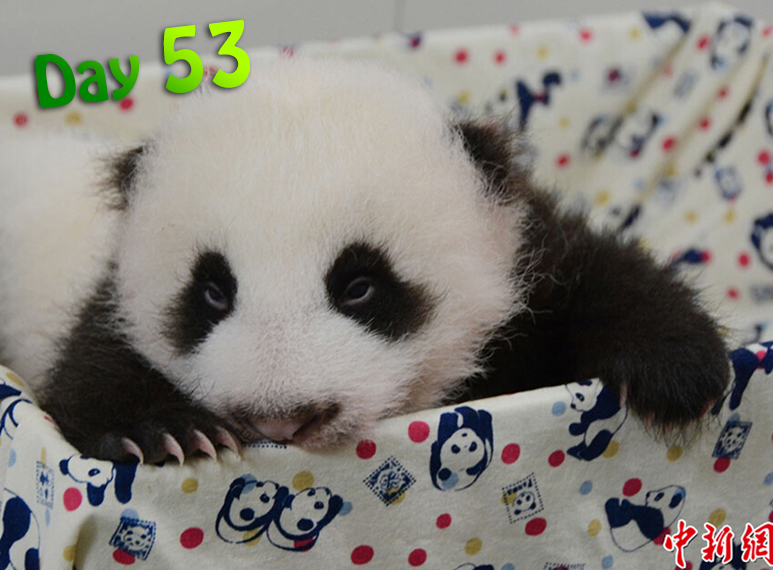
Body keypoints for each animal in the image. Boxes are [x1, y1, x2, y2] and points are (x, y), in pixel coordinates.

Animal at [0, 58, 729, 462]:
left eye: (359, 286)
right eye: (211, 292)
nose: (281, 417)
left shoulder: (518, 256)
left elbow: (586, 271)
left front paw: (678, 369)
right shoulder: (105, 295)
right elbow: (91, 374)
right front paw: (165, 431)